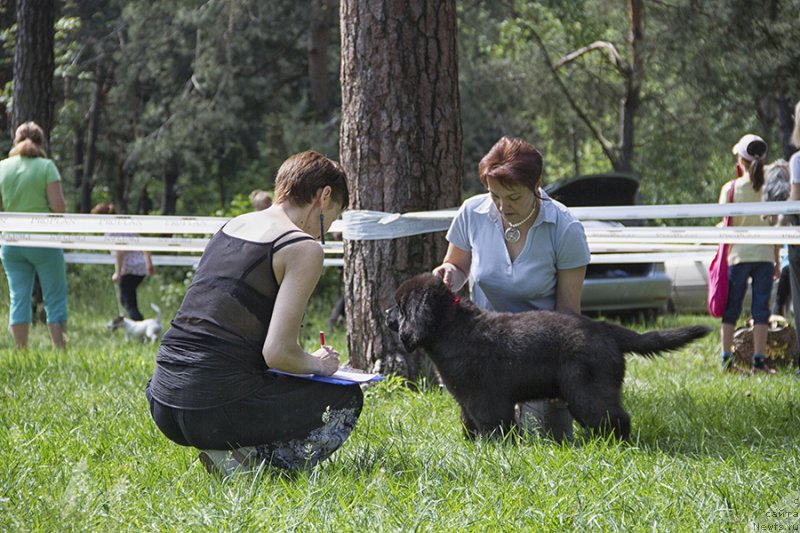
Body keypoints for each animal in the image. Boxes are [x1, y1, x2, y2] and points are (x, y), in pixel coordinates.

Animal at [388, 272, 712, 438]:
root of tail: (605, 328)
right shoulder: (466, 399)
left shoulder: (487, 398)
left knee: (617, 419)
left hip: (588, 392)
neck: (451, 328)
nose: (385, 314)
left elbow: (493, 426)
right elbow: (468, 423)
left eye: (400, 307)